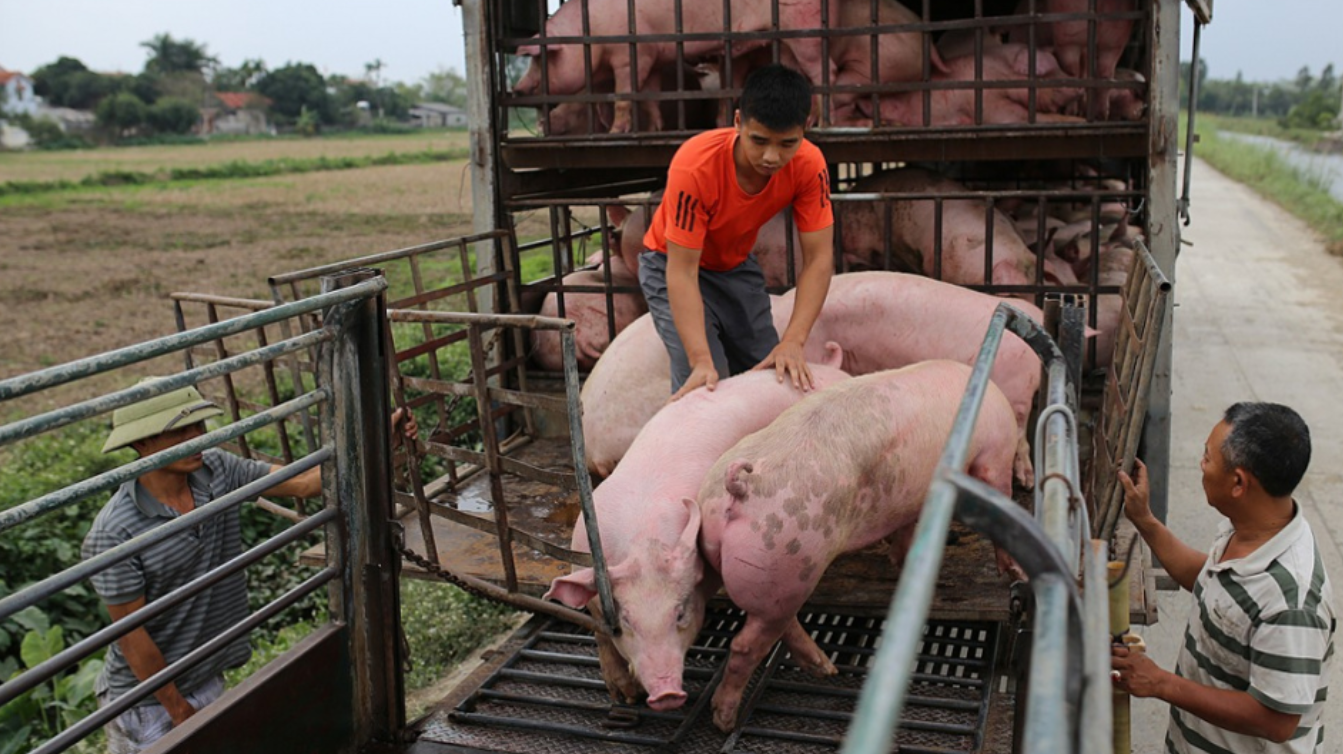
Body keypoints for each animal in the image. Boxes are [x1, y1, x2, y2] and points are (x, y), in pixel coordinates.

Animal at [515, 0, 838, 132]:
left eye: (539, 59)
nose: (517, 90)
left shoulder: (631, 54)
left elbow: (624, 94)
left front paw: (616, 133)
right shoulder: (653, 57)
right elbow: (650, 97)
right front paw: (656, 129)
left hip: (803, 27)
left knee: (827, 71)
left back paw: (825, 123)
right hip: (786, 43)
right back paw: (811, 121)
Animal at [545, 362, 848, 709]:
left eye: (679, 613)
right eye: (626, 622)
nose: (666, 694)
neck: (643, 542)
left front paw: (828, 671)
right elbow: (599, 632)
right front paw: (625, 698)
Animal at [692, 357, 1015, 731]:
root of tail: (740, 485)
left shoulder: (912, 498)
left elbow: (907, 528)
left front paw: (902, 561)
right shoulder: (996, 449)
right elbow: (999, 492)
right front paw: (1013, 571)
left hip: (769, 576)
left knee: (777, 622)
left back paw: (825, 668)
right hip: (787, 557)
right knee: (746, 644)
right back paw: (726, 720)